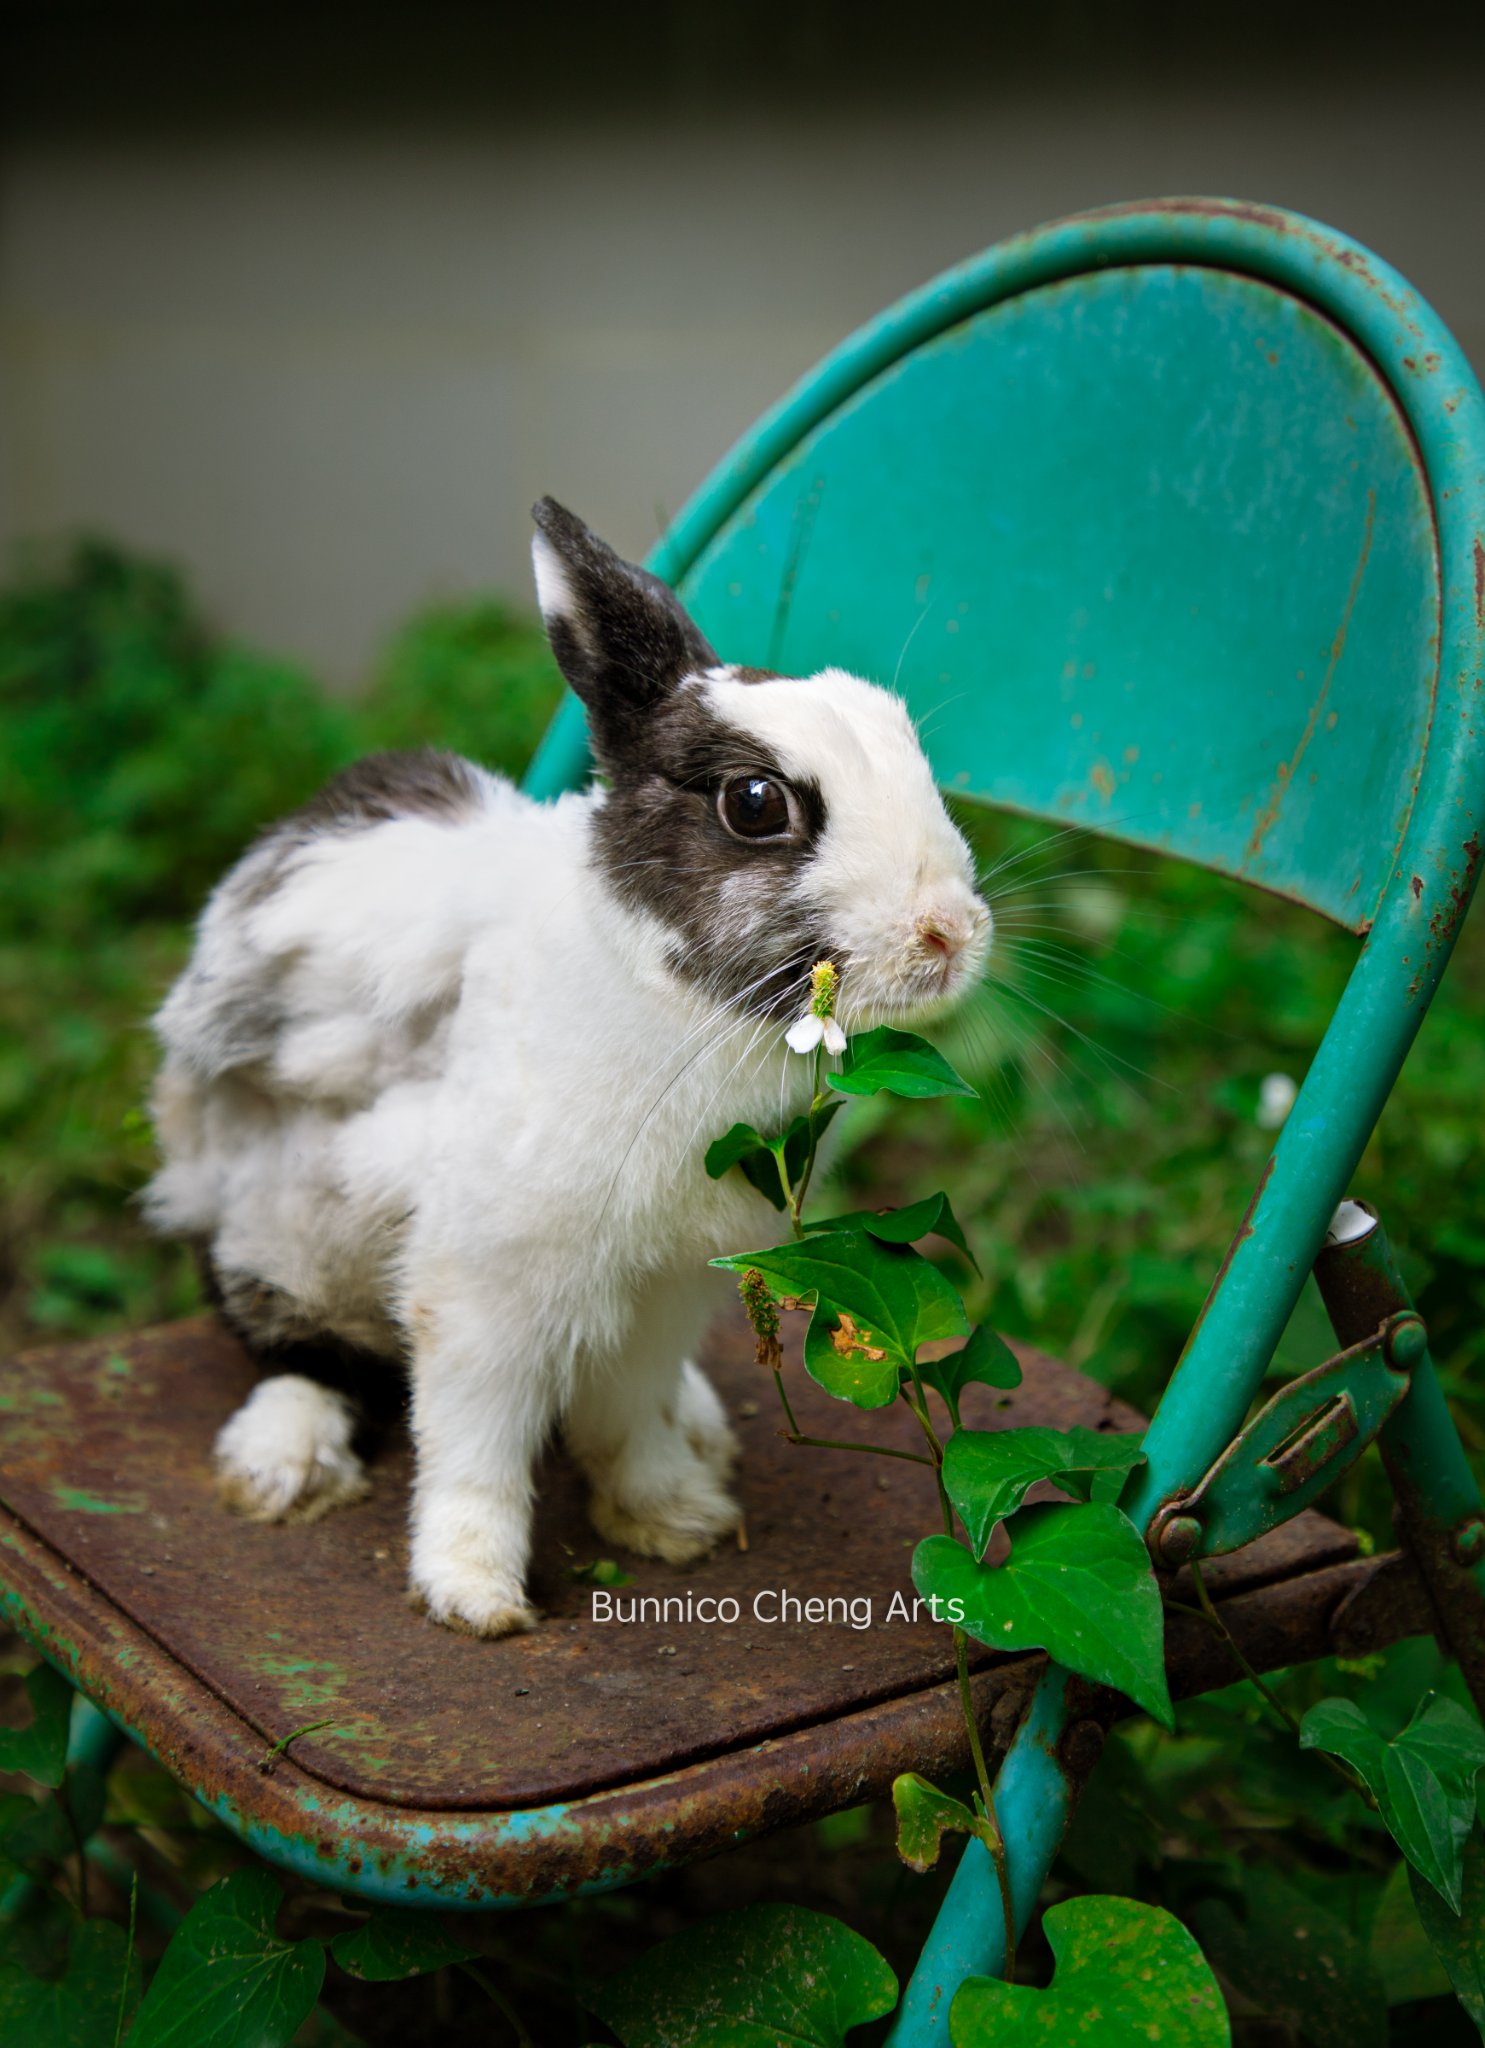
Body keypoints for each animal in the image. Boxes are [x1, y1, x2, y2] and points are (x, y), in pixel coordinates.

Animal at [143, 499, 992, 1637]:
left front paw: (674, 1520)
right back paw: (282, 1463)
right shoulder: (482, 1285)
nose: (949, 931)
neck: (667, 997)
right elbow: (474, 1439)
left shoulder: (661, 1289)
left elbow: (626, 1412)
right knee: (302, 1354)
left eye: (914, 751)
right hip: (273, 1234)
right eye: (755, 803)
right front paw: (473, 1594)